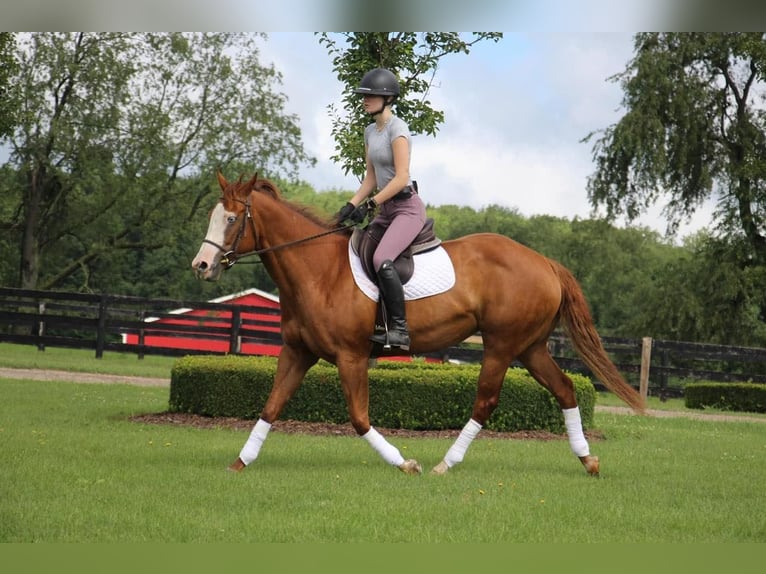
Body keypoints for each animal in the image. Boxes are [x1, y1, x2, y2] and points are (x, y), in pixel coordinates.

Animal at [194, 173, 648, 480]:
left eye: (232, 219)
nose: (201, 266)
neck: (318, 271)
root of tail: (545, 262)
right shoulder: (298, 353)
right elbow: (270, 406)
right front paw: (240, 462)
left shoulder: (350, 357)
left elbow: (359, 418)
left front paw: (404, 462)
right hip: (531, 347)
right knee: (566, 389)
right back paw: (587, 459)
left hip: (502, 346)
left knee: (486, 402)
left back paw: (445, 464)